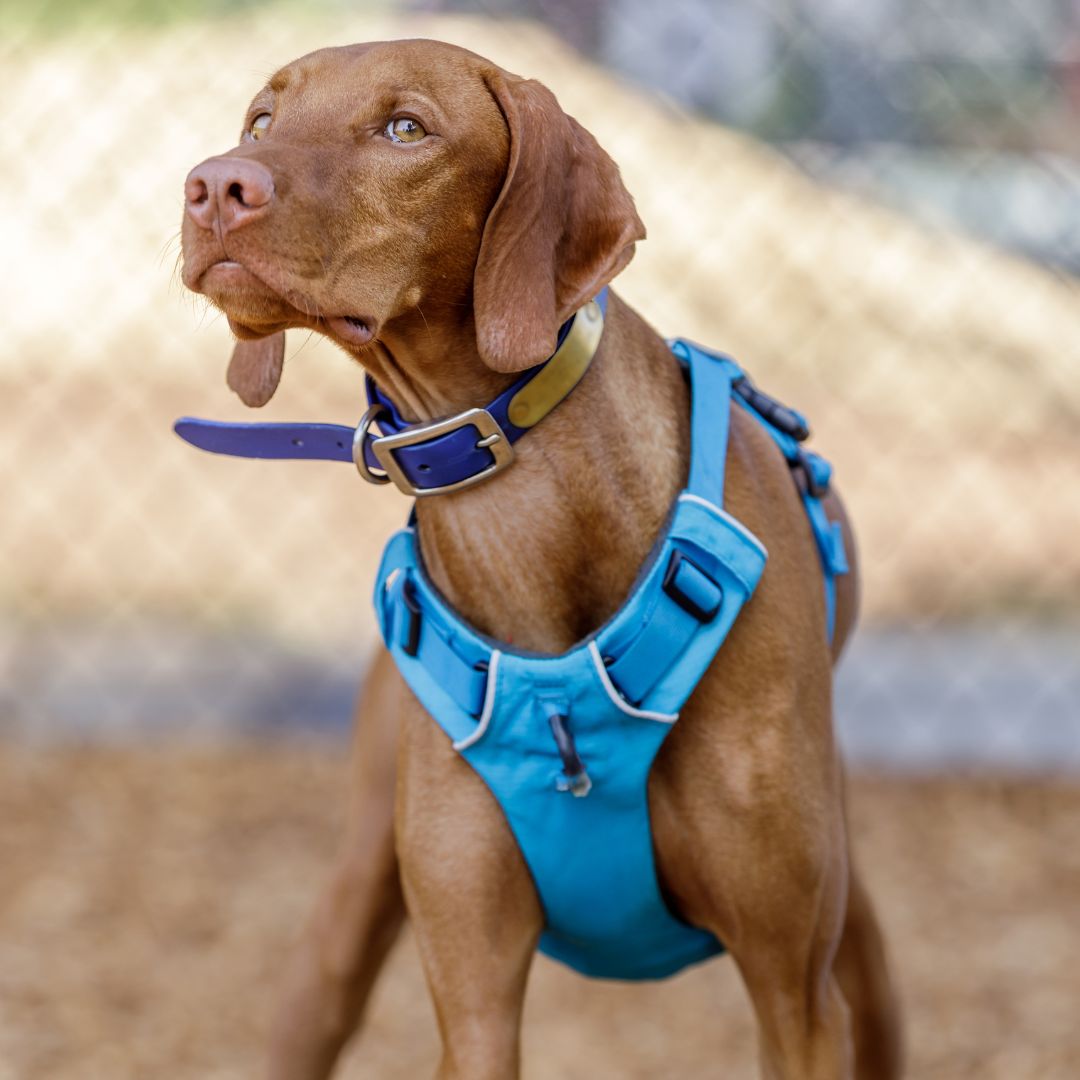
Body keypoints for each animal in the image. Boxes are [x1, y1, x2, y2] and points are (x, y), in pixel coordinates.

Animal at [179, 38, 902, 1075]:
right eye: (261, 122)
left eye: (407, 128)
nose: (211, 185)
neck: (523, 513)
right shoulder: (474, 991)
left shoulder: (794, 1001)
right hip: (344, 925)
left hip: (857, 970)